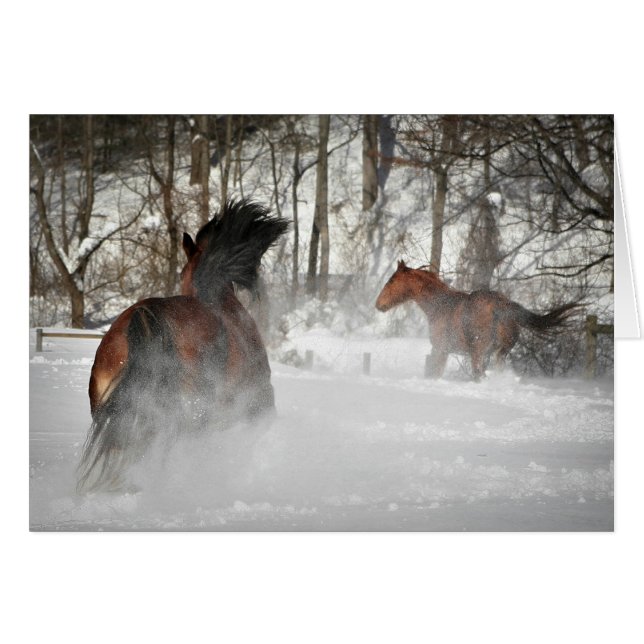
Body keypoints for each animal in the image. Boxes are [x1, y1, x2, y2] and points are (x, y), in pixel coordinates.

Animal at [375, 260, 581, 381]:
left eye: (391, 281)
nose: (378, 304)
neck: (439, 307)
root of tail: (502, 304)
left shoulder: (441, 349)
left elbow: (435, 373)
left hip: (478, 352)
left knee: (478, 375)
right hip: (500, 353)